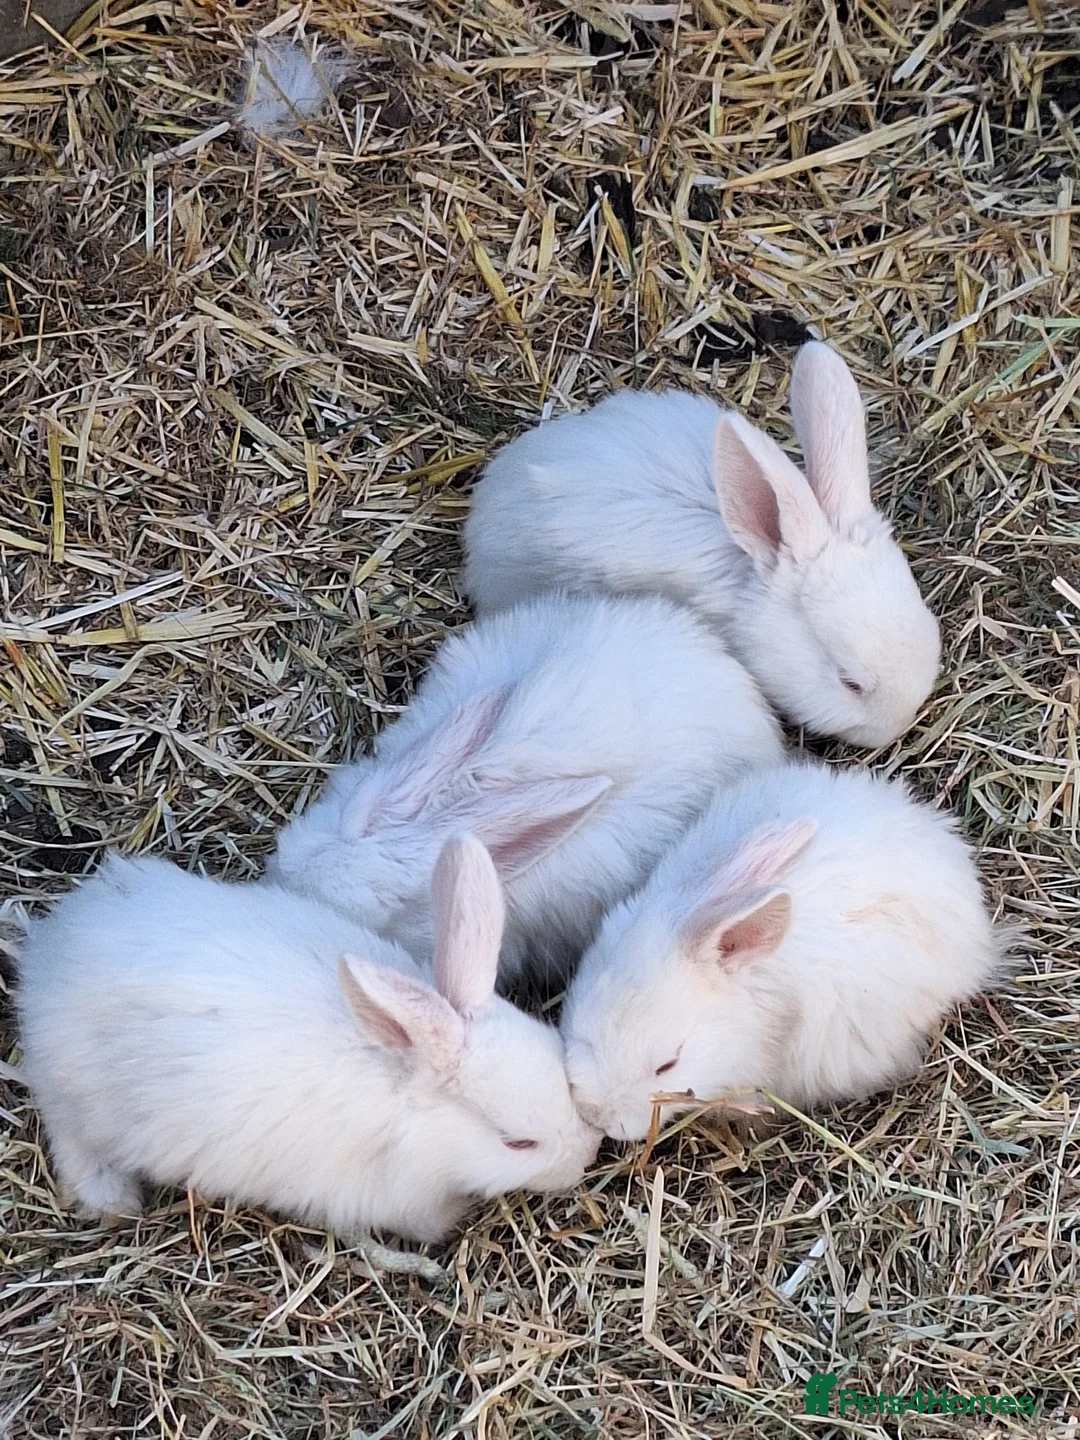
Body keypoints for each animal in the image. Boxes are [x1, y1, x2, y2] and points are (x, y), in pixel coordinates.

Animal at [16, 835, 600, 1243]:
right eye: (517, 1143)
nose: (586, 1157)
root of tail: (48, 953)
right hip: (81, 1100)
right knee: (72, 1137)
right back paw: (112, 1199)